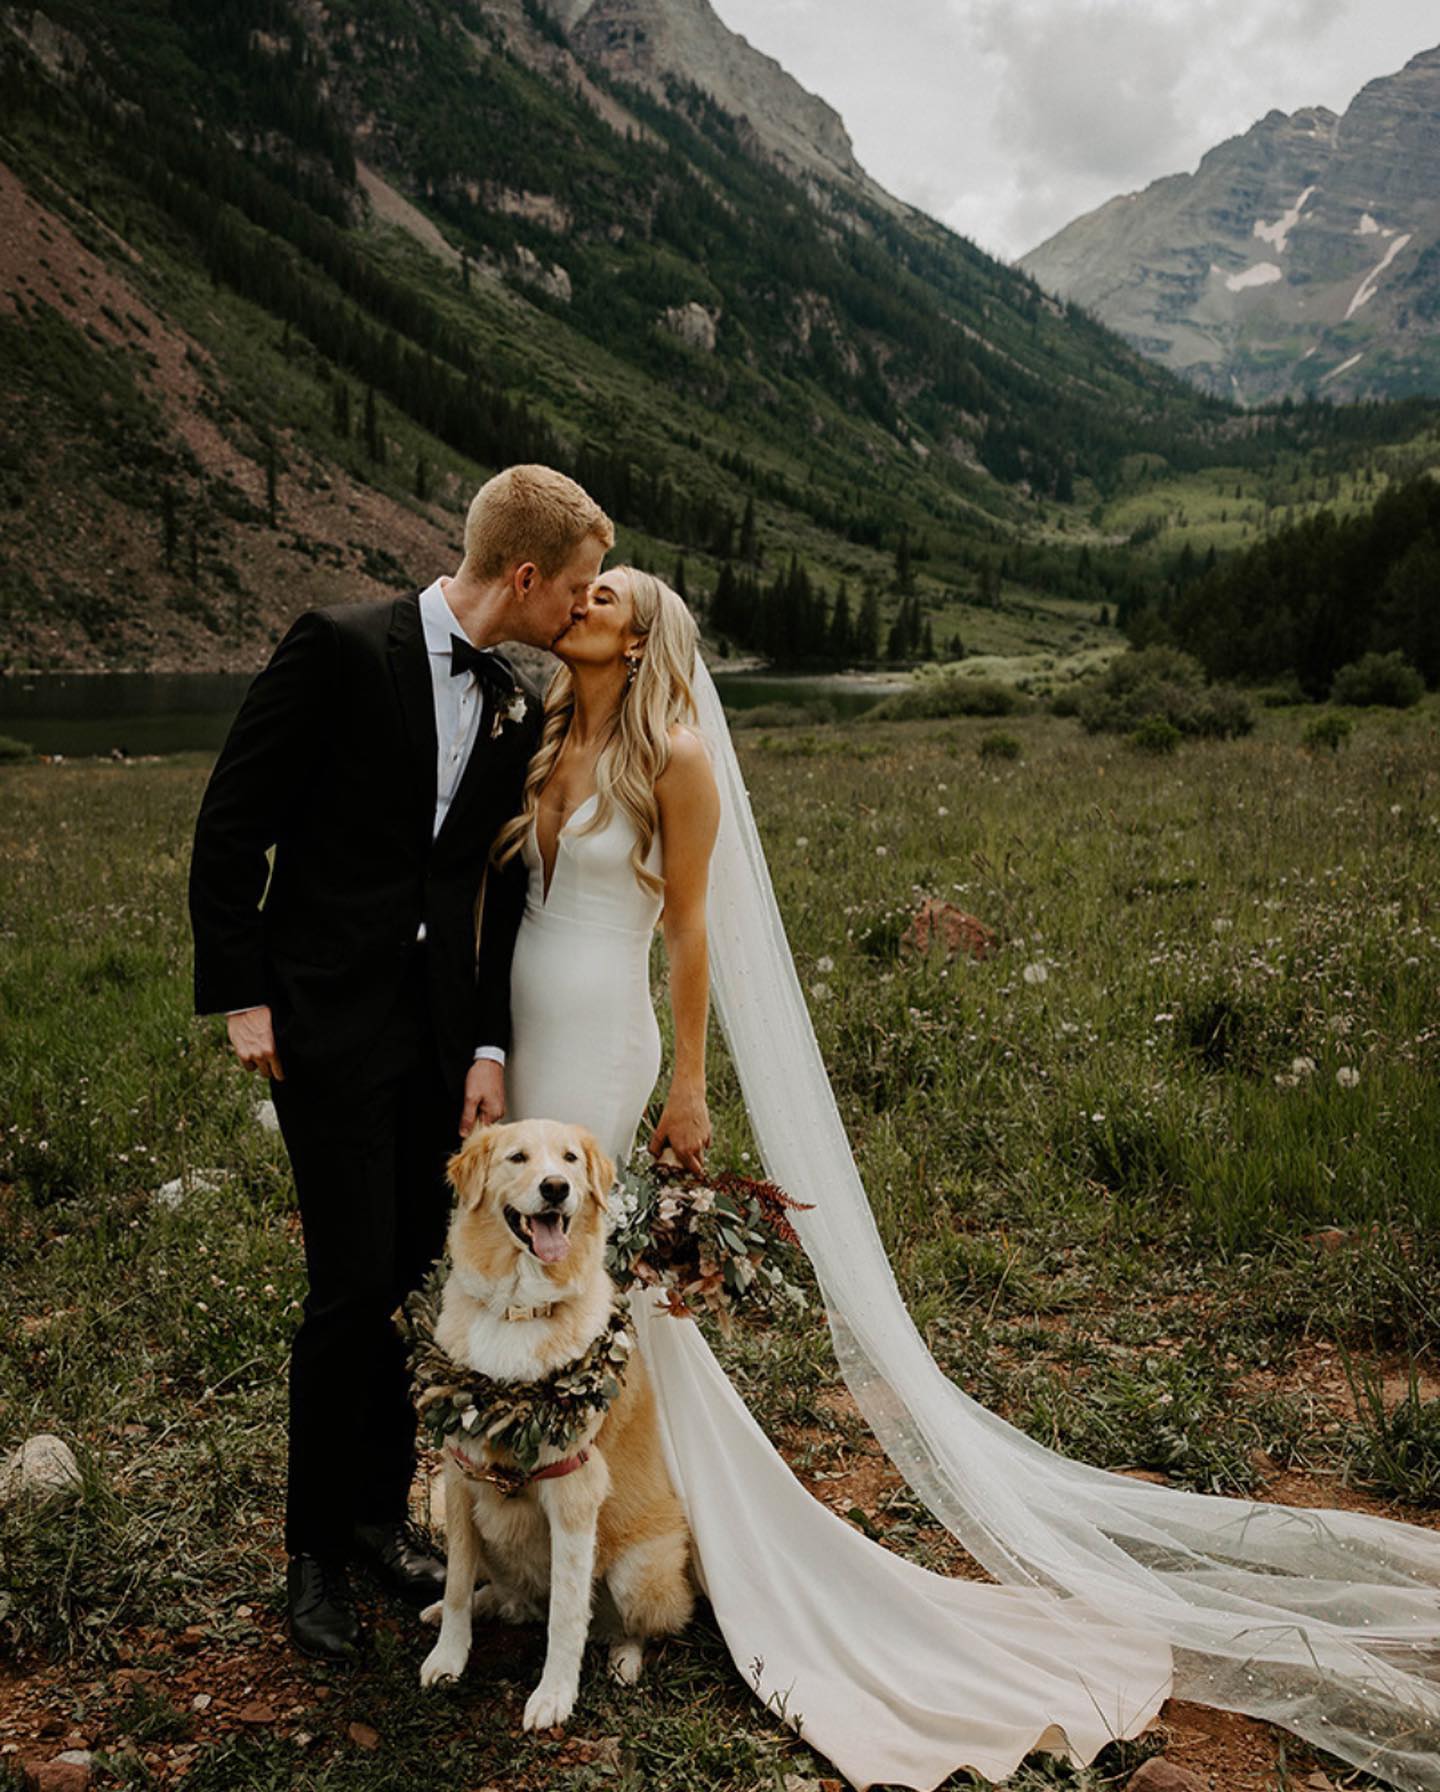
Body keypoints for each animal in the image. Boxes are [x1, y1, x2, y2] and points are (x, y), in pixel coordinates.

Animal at [415, 1111, 691, 1727]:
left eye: (568, 1159)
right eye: (518, 1157)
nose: (556, 1189)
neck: (517, 1309)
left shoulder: (572, 1492)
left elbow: (568, 1613)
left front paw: (554, 1695)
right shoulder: (460, 1476)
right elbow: (459, 1579)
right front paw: (448, 1655)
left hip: (638, 1569)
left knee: (622, 1623)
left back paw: (623, 1661)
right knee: (512, 1598)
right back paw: (476, 1603)